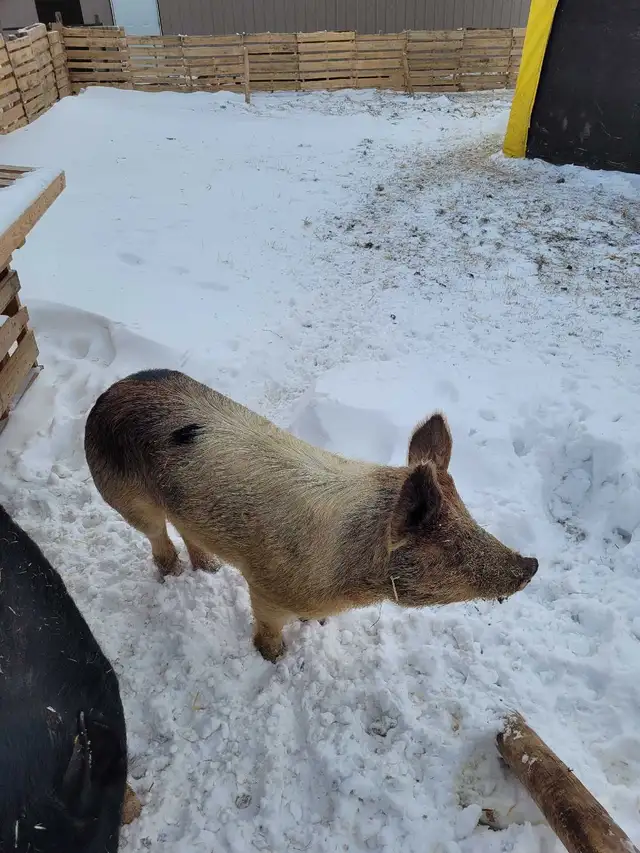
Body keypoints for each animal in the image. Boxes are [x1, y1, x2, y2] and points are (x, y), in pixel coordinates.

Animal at [84, 369, 538, 662]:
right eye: (450, 547)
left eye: (471, 520)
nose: (531, 564)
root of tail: (109, 392)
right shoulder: (265, 587)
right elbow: (268, 626)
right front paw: (275, 658)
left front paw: (313, 626)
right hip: (122, 494)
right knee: (156, 535)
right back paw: (174, 574)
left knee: (185, 528)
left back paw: (210, 570)